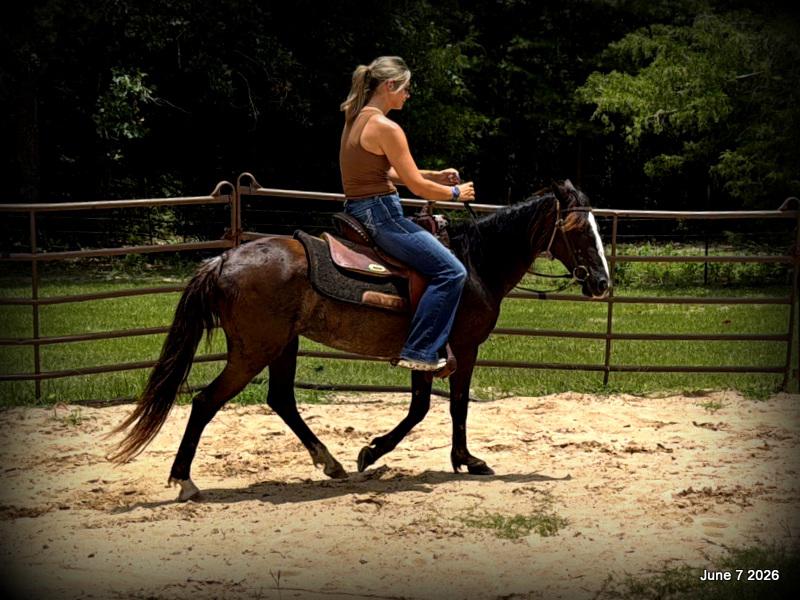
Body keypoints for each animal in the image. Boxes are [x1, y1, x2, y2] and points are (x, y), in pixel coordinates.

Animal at [108, 179, 610, 501]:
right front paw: (455, 459)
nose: (602, 283)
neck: (475, 265)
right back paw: (185, 481)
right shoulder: (459, 349)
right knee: (205, 402)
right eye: (579, 230)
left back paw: (328, 462)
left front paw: (382, 454)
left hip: (282, 346)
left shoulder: (427, 353)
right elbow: (448, 407)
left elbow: (426, 407)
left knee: (281, 399)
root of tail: (223, 261)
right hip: (253, 351)